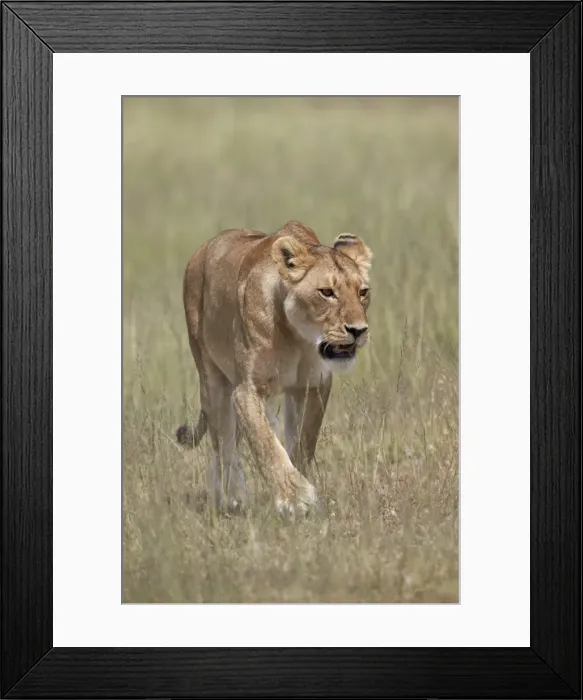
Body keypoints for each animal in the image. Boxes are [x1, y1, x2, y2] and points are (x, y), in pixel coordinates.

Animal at [176, 220, 372, 518]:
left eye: (363, 292)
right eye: (327, 292)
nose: (358, 330)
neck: (298, 338)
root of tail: (202, 249)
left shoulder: (312, 386)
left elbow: (302, 442)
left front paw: (299, 487)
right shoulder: (246, 391)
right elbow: (266, 444)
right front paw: (295, 500)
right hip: (213, 381)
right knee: (223, 446)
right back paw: (232, 498)